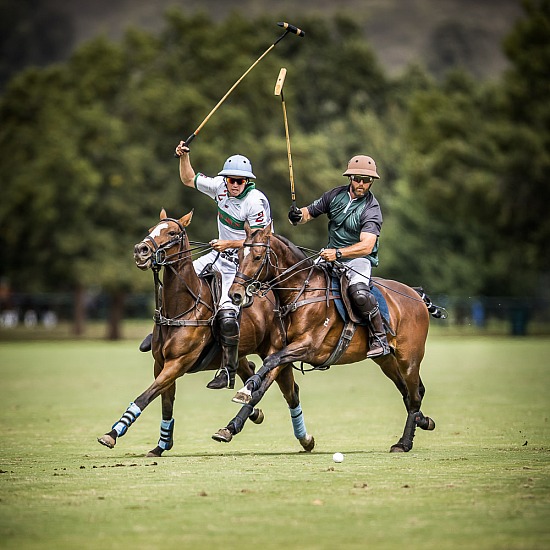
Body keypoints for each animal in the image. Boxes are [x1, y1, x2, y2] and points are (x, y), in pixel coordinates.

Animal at [97, 211, 316, 458]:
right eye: (151, 228)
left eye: (172, 233)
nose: (140, 250)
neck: (182, 308)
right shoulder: (160, 364)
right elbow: (165, 403)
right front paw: (161, 445)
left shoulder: (178, 363)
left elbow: (146, 396)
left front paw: (112, 434)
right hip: (242, 352)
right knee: (246, 370)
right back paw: (250, 408)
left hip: (275, 349)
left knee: (290, 391)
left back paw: (304, 439)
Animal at [222, 222, 446, 454]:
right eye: (239, 255)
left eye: (257, 257)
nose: (235, 294)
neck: (301, 292)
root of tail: (415, 293)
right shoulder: (283, 349)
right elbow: (263, 384)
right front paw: (231, 426)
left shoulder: (307, 346)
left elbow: (268, 363)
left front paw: (246, 387)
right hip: (386, 359)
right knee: (409, 391)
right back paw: (424, 421)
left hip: (409, 357)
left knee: (414, 396)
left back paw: (404, 443)